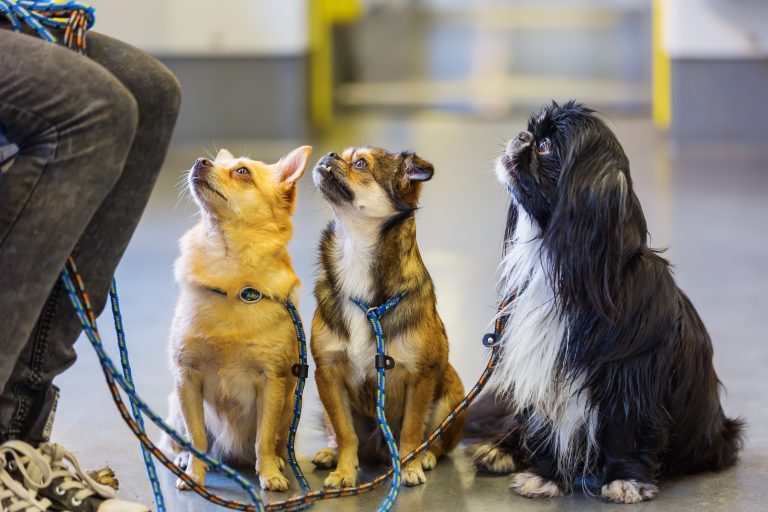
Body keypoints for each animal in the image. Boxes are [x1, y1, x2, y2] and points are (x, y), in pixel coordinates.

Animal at [162, 144, 312, 492]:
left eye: (242, 171)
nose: (200, 161)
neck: (231, 277)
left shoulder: (272, 383)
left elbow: (263, 438)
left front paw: (269, 474)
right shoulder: (187, 377)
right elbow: (197, 437)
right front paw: (194, 475)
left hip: (289, 408)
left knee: (277, 441)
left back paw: (280, 461)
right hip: (175, 406)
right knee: (179, 440)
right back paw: (182, 459)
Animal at [308, 147, 464, 488]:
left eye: (360, 163)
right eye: (345, 155)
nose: (330, 153)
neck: (355, 253)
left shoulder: (420, 376)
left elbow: (411, 429)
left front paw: (410, 466)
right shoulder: (328, 375)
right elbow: (345, 432)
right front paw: (344, 471)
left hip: (452, 397)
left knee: (436, 442)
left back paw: (426, 456)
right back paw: (329, 454)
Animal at [464, 101, 740, 504]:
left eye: (544, 146)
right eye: (531, 133)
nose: (521, 136)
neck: (564, 270)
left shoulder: (630, 378)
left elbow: (626, 431)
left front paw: (625, 481)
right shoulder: (542, 370)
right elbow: (543, 428)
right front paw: (544, 476)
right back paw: (499, 449)